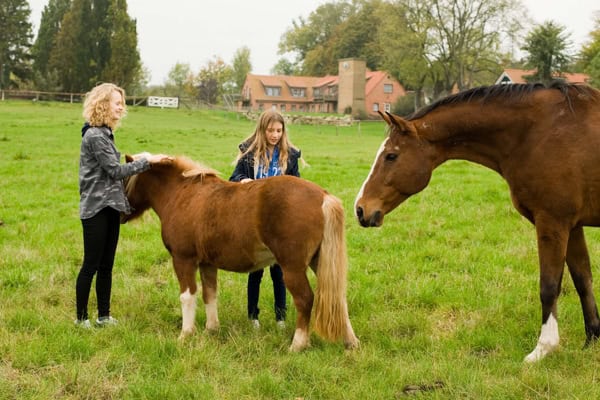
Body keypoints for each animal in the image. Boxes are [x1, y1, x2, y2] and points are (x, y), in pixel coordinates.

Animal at [119, 153, 358, 350]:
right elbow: (209, 294)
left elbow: (187, 296)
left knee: (305, 300)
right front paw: (211, 329)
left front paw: (185, 335)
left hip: (293, 268)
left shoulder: (183, 259)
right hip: (320, 262)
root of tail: (323, 197)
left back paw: (297, 345)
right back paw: (350, 341)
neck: (183, 194)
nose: (119, 215)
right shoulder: (207, 263)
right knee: (338, 298)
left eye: (123, 180)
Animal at [356, 83, 600, 364]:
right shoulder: (573, 226)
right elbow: (583, 280)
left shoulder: (553, 222)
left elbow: (549, 286)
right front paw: (592, 339)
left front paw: (543, 349)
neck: (538, 133)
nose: (360, 208)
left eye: (391, 156)